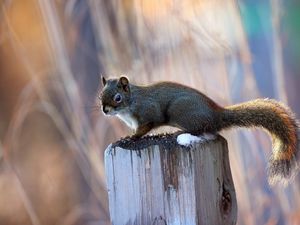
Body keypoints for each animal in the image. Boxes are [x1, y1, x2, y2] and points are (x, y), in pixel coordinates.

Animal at [100, 75, 298, 185]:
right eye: (100, 95)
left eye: (117, 97)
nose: (105, 110)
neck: (131, 102)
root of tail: (216, 114)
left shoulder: (148, 112)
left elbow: (145, 128)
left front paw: (130, 138)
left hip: (182, 112)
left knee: (199, 129)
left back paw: (178, 133)